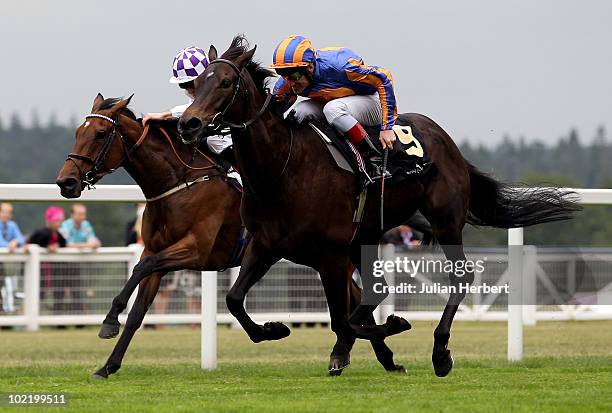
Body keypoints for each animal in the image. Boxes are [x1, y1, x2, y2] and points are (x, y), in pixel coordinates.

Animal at [178, 36, 580, 376]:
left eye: (225, 83)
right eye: (197, 84)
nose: (188, 123)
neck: (283, 168)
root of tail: (448, 142)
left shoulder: (329, 254)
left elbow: (342, 317)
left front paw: (378, 333)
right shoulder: (266, 245)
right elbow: (234, 299)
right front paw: (275, 329)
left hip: (445, 220)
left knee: (457, 277)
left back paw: (439, 352)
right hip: (366, 236)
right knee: (377, 290)